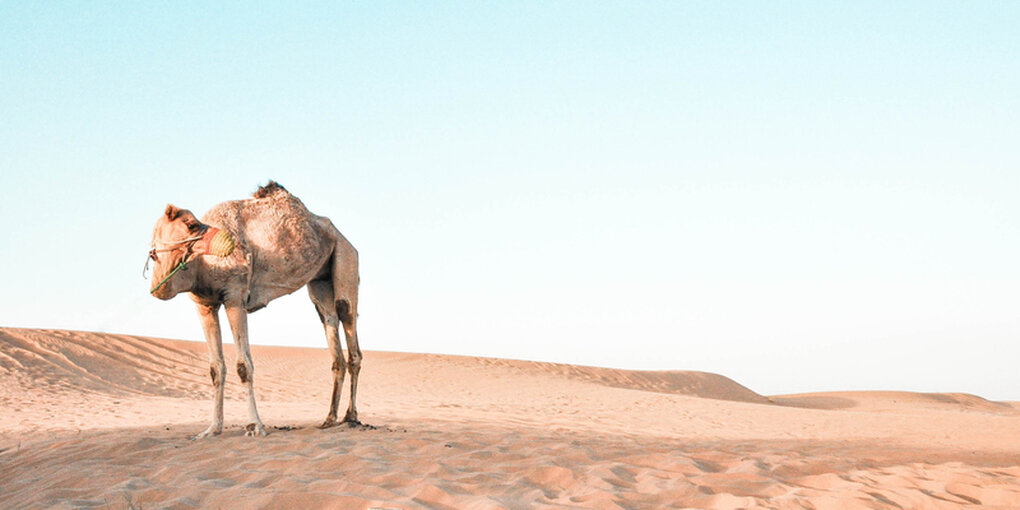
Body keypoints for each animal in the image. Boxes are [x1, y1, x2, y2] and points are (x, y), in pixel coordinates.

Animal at [147, 182, 361, 438]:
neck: (201, 266)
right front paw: (212, 429)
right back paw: (329, 419)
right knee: (330, 327)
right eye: (191, 225)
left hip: (345, 256)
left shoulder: (235, 297)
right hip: (320, 280)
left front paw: (254, 426)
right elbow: (215, 368)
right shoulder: (205, 305)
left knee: (347, 320)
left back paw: (351, 417)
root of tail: (341, 235)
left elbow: (243, 365)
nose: (226, 244)